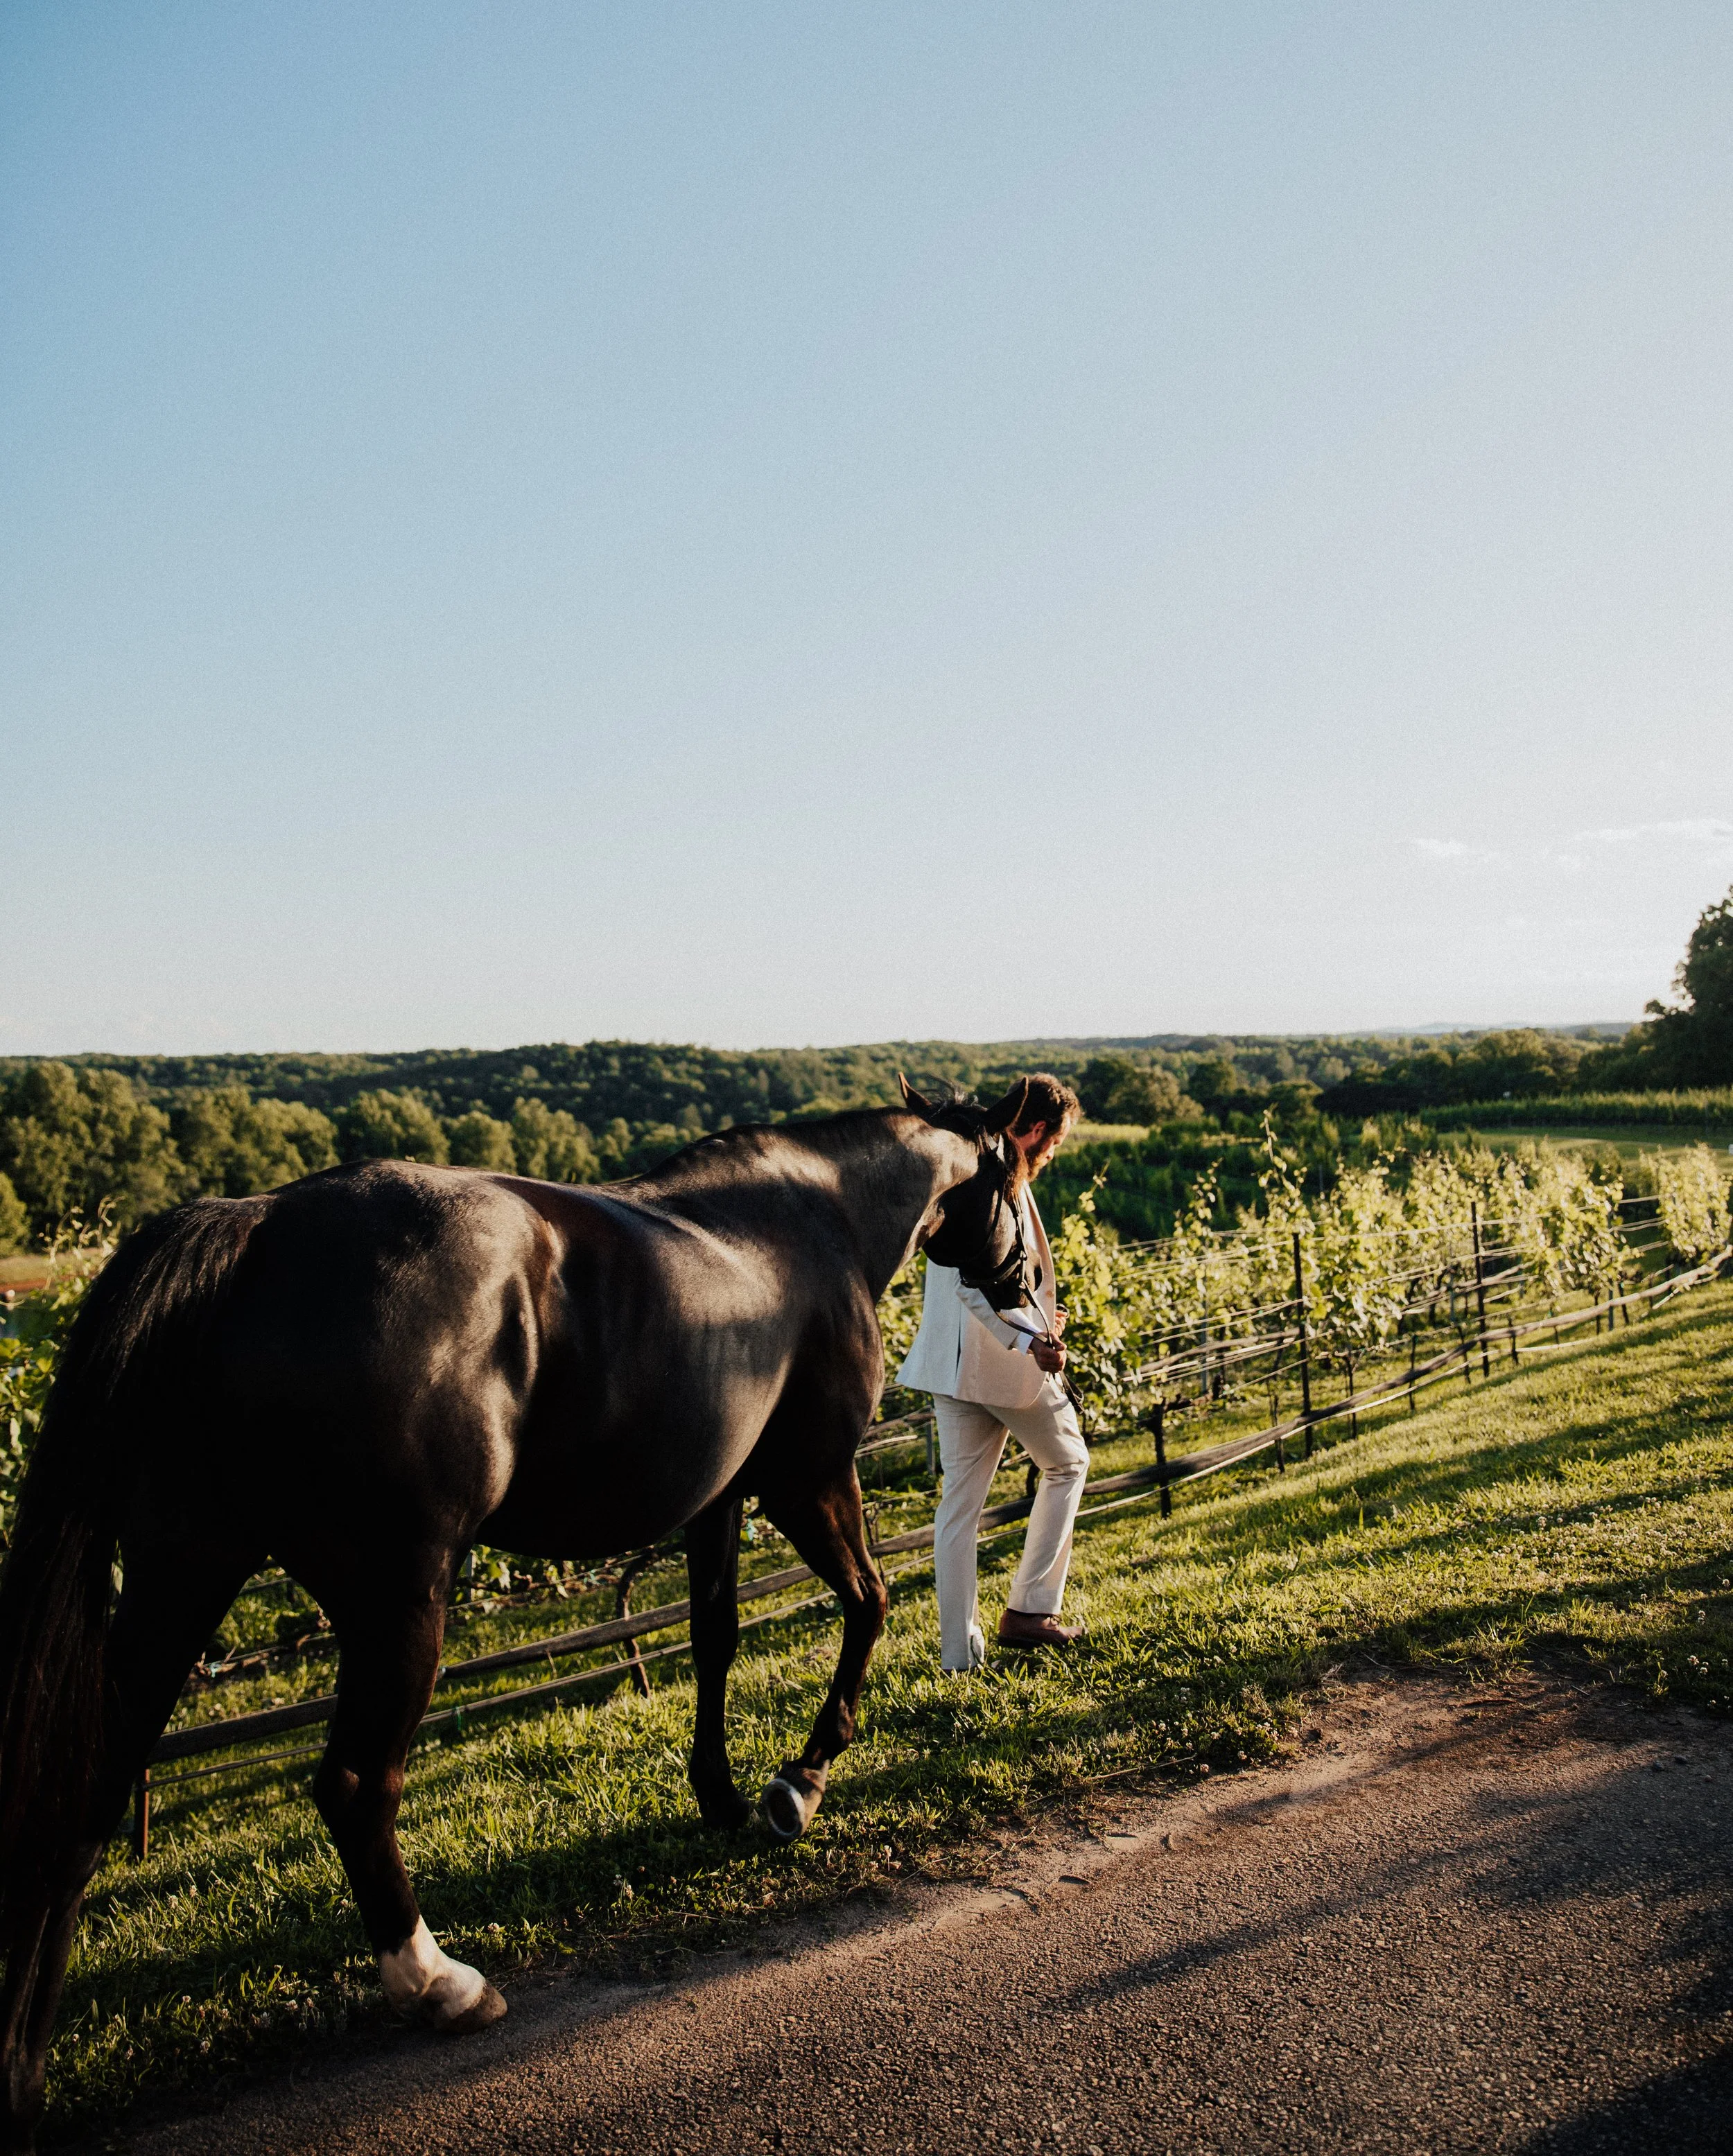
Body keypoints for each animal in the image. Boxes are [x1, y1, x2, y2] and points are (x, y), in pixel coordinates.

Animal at [0, 1074, 1030, 2149]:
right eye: (1018, 1175)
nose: (1027, 1283)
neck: (807, 1215)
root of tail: (256, 1225)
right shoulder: (811, 1477)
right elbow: (869, 1603)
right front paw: (801, 1781)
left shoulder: (720, 1498)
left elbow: (713, 1636)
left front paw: (721, 1793)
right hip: (396, 1601)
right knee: (355, 1785)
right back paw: (439, 1982)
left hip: (182, 1574)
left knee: (85, 1794)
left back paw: (22, 2072)